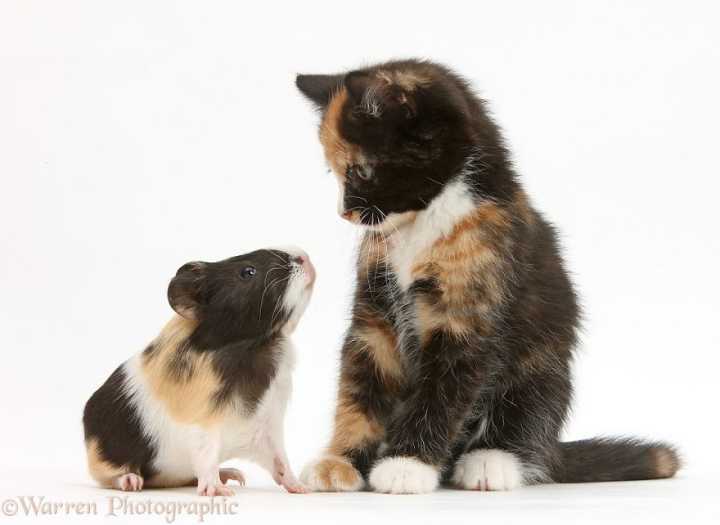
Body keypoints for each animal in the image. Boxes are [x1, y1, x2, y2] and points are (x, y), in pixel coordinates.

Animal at [294, 59, 680, 494]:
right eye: (334, 172)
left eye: (360, 172)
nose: (344, 212)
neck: (424, 222)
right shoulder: (374, 319)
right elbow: (360, 386)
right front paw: (341, 461)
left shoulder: (466, 320)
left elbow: (442, 395)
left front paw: (406, 465)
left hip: (544, 367)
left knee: (529, 413)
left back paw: (490, 461)